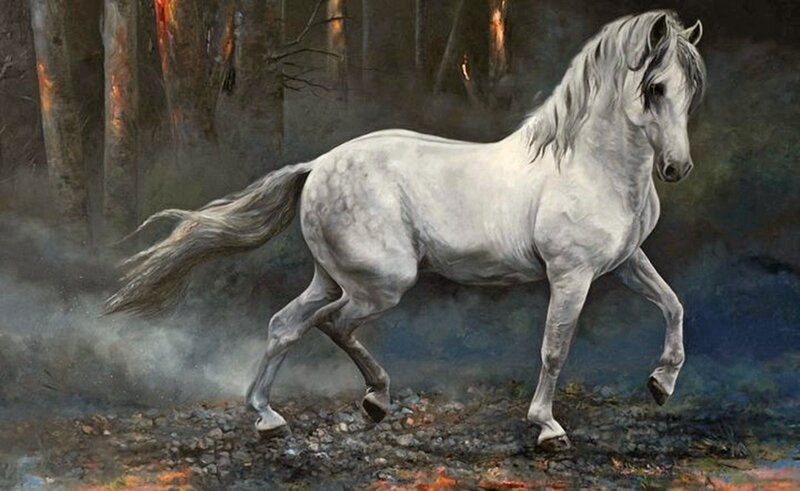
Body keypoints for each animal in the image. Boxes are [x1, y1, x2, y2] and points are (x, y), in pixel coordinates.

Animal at [105, 10, 706, 451]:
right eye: (655, 87)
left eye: (690, 89)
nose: (677, 168)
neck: (587, 164)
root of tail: (316, 166)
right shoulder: (571, 275)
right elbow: (554, 349)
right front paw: (547, 427)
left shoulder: (624, 263)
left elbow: (674, 305)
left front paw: (661, 384)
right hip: (380, 283)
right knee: (332, 324)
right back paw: (374, 400)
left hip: (334, 276)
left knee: (286, 325)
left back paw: (268, 417)